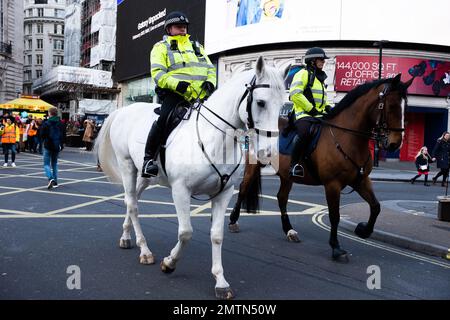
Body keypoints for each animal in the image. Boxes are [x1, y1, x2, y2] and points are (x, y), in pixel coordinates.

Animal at [95, 56, 284, 298]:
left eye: (283, 104)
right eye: (260, 102)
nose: (269, 153)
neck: (214, 139)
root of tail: (124, 110)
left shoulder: (224, 193)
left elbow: (217, 235)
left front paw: (220, 281)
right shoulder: (181, 191)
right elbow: (185, 232)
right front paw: (169, 263)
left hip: (146, 177)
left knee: (132, 199)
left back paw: (126, 237)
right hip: (127, 166)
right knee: (133, 205)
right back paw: (144, 249)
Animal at [229, 74, 414, 262]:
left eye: (406, 106)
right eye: (391, 106)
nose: (395, 143)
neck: (346, 137)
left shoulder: (361, 180)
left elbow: (376, 207)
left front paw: (363, 230)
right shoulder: (332, 184)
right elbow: (334, 216)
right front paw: (336, 248)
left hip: (287, 175)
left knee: (281, 198)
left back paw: (289, 230)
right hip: (254, 165)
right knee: (243, 189)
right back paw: (233, 221)